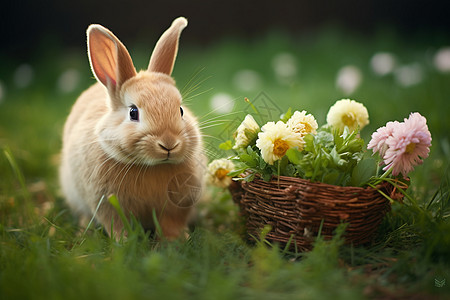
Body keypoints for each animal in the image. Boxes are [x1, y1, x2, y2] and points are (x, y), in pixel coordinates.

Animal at [59, 17, 205, 240]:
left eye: (180, 110)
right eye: (133, 112)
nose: (169, 144)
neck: (151, 166)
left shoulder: (177, 205)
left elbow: (171, 224)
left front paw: (178, 239)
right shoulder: (108, 205)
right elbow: (118, 225)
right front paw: (125, 241)